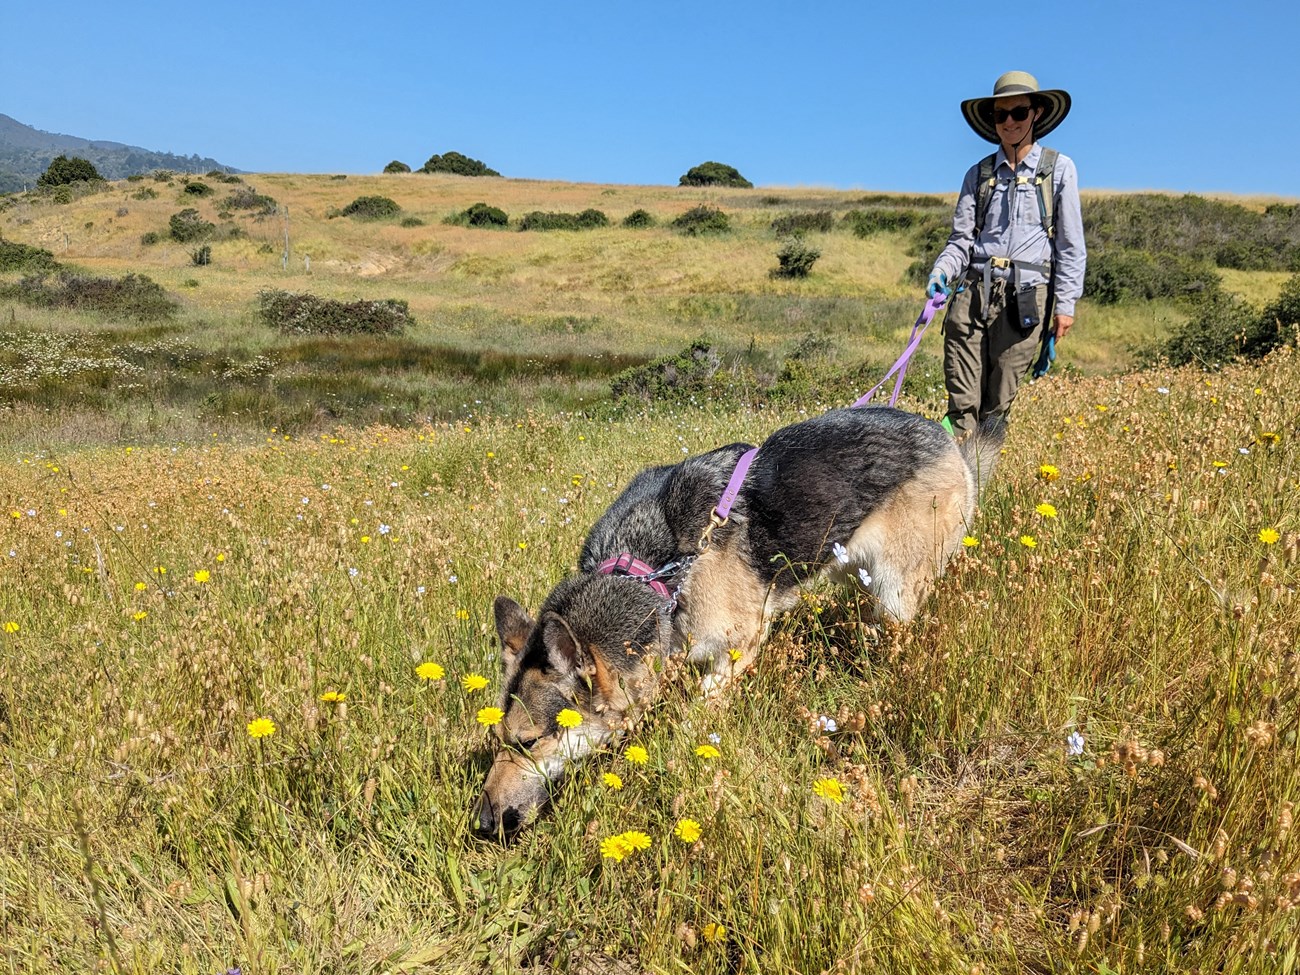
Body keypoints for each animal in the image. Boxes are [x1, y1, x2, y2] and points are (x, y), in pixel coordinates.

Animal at [473, 405, 998, 842]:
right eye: (498, 741)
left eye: (529, 742)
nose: (481, 824)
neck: (652, 575)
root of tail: (946, 439)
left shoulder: (738, 647)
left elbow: (692, 720)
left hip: (896, 592)